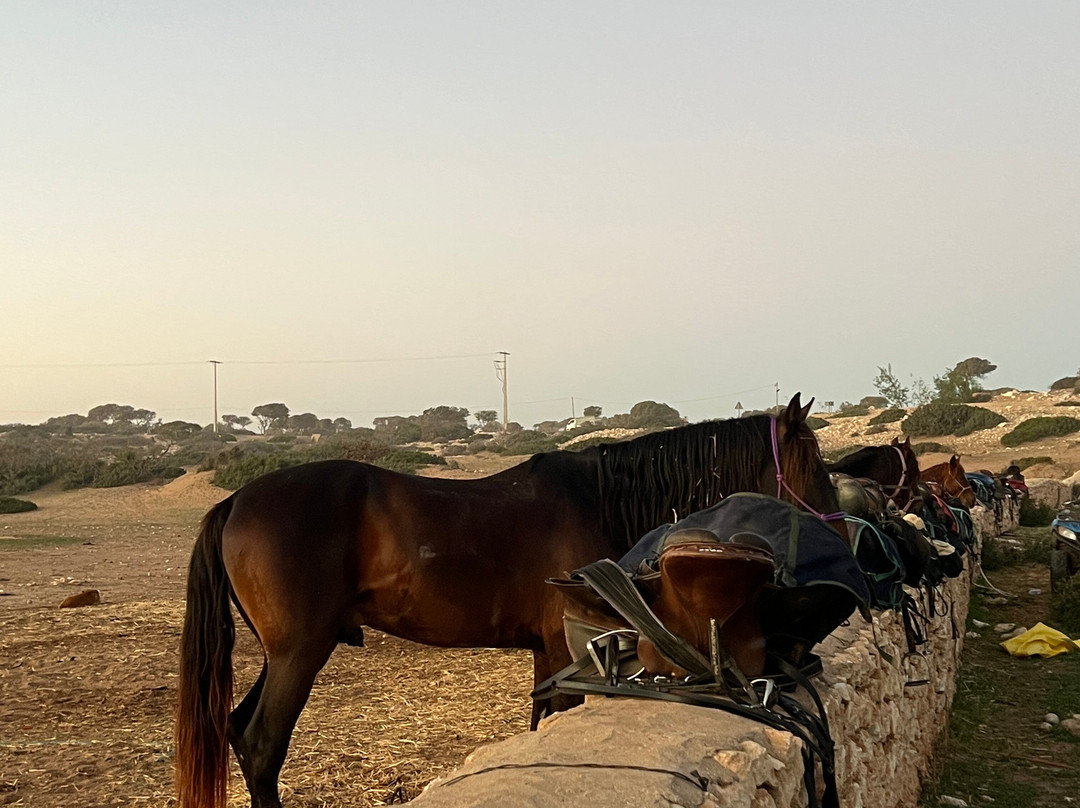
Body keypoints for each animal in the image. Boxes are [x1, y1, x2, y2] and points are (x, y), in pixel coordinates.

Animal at [175, 394, 843, 808]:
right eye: (812, 460)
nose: (841, 527)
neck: (597, 500)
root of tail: (235, 500)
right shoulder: (571, 651)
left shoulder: (551, 656)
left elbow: (542, 723)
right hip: (299, 655)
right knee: (262, 746)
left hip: (284, 656)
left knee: (239, 734)